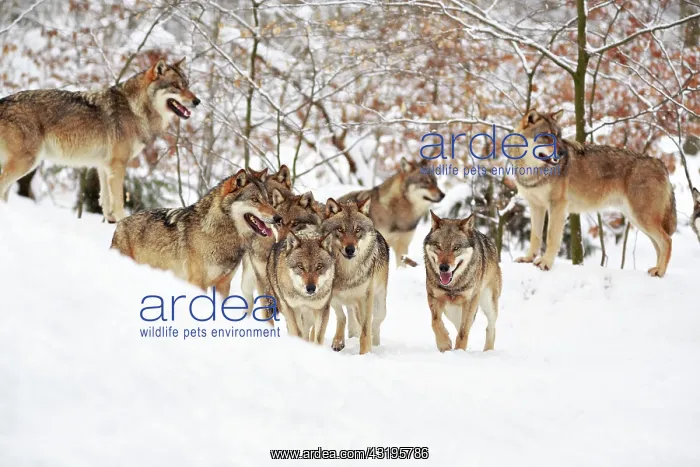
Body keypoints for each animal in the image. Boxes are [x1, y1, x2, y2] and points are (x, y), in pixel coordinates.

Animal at [0, 58, 198, 222]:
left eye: (187, 85)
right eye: (176, 86)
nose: (198, 101)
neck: (136, 109)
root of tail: (3, 100)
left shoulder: (104, 166)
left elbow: (106, 201)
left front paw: (112, 224)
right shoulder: (118, 165)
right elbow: (118, 201)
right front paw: (122, 222)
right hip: (26, 163)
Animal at [110, 169, 280, 298]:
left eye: (268, 199)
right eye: (254, 199)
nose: (278, 218)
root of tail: (121, 223)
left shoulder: (223, 285)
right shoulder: (197, 282)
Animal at [322, 198, 390, 354]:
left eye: (357, 230)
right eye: (340, 230)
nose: (350, 249)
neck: (348, 272)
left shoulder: (365, 298)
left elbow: (365, 331)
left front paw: (365, 354)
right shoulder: (331, 295)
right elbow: (341, 317)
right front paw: (338, 342)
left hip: (379, 304)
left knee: (375, 323)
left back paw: (375, 344)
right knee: (350, 315)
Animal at [423, 211, 502, 352]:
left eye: (456, 248)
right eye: (438, 246)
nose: (443, 268)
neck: (453, 287)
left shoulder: (470, 301)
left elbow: (463, 331)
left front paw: (459, 351)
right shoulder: (434, 297)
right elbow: (435, 322)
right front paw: (444, 344)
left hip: (488, 304)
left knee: (490, 327)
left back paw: (488, 351)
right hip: (451, 311)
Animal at [511, 109, 676, 277]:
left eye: (558, 135)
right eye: (546, 136)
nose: (563, 153)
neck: (532, 171)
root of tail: (660, 164)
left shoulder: (557, 206)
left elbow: (551, 237)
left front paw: (545, 263)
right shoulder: (536, 206)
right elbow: (535, 236)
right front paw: (528, 259)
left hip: (642, 218)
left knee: (667, 241)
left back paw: (660, 271)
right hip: (636, 219)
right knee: (659, 244)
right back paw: (657, 269)